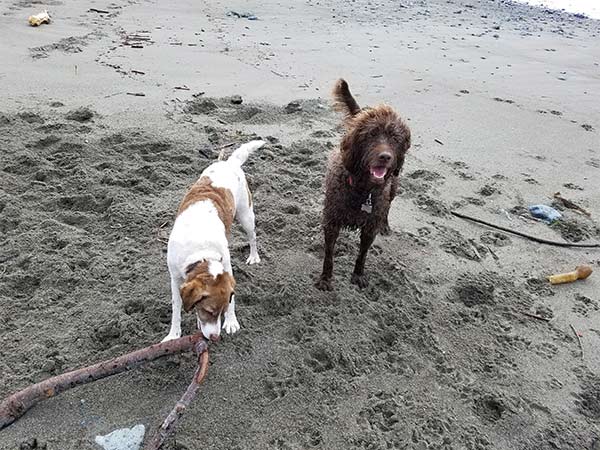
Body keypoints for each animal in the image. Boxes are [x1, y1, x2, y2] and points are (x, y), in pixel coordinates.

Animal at [164, 139, 268, 342]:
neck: (200, 251)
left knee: (252, 237)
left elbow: (233, 299)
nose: (214, 337)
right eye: (208, 311)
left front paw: (231, 322)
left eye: (221, 311)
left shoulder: (226, 268)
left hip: (246, 215)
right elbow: (176, 308)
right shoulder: (175, 277)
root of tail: (229, 163)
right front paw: (174, 334)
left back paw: (254, 256)